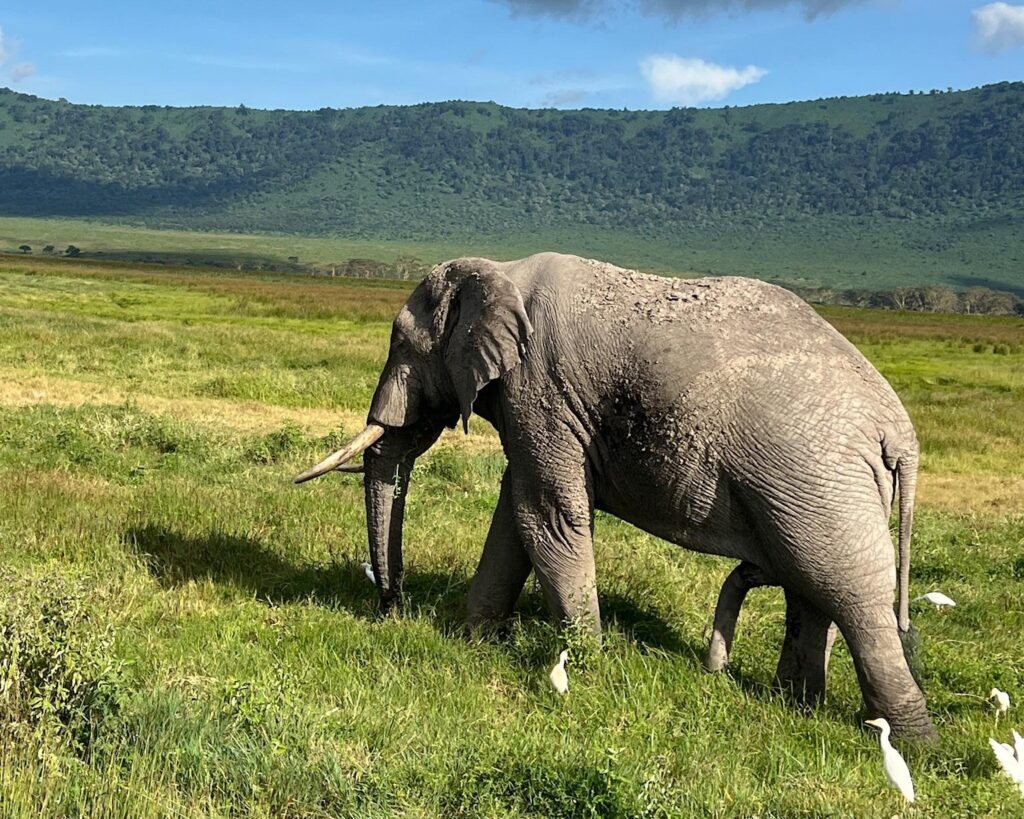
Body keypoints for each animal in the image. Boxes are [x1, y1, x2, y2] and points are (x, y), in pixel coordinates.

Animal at [296, 252, 935, 739]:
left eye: (401, 345)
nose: (392, 608)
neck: (499, 270)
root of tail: (899, 431)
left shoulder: (540, 388)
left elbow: (546, 515)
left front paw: (584, 666)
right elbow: (515, 514)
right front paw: (476, 640)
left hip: (818, 480)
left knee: (851, 596)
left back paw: (908, 744)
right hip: (815, 488)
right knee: (812, 589)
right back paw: (793, 705)